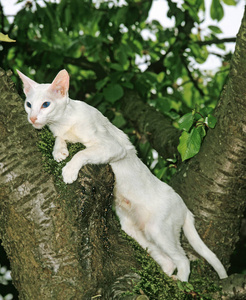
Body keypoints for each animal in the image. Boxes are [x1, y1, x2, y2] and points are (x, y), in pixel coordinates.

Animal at [17, 69, 229, 282]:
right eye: (29, 104)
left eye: (46, 104)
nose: (33, 119)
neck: (63, 122)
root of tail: (184, 206)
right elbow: (61, 139)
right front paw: (59, 151)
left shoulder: (113, 147)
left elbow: (82, 152)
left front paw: (69, 171)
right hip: (135, 230)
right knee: (169, 261)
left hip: (159, 230)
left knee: (183, 260)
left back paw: (181, 283)